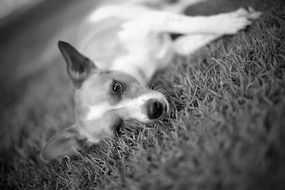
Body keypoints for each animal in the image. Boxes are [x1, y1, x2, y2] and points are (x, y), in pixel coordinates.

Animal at [39, 0, 260, 162]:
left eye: (116, 86)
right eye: (118, 128)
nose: (154, 109)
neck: (142, 69)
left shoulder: (150, 21)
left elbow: (193, 23)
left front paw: (231, 21)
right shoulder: (177, 48)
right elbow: (196, 36)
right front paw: (233, 24)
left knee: (177, 7)